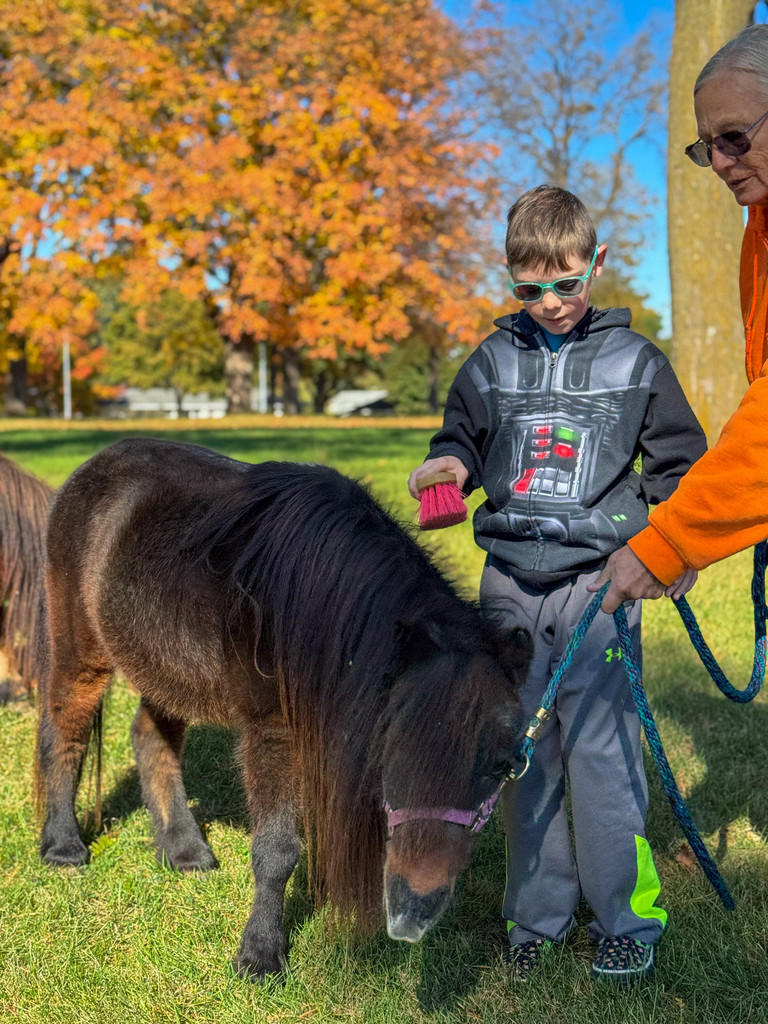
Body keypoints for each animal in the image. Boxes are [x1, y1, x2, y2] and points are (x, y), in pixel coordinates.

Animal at [35, 437, 532, 980]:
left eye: (505, 767)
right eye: (396, 749)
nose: (413, 914)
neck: (318, 608)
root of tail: (96, 463)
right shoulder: (274, 734)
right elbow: (276, 850)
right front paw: (260, 955)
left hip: (164, 668)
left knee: (150, 737)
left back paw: (184, 850)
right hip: (81, 649)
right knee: (65, 727)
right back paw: (62, 846)